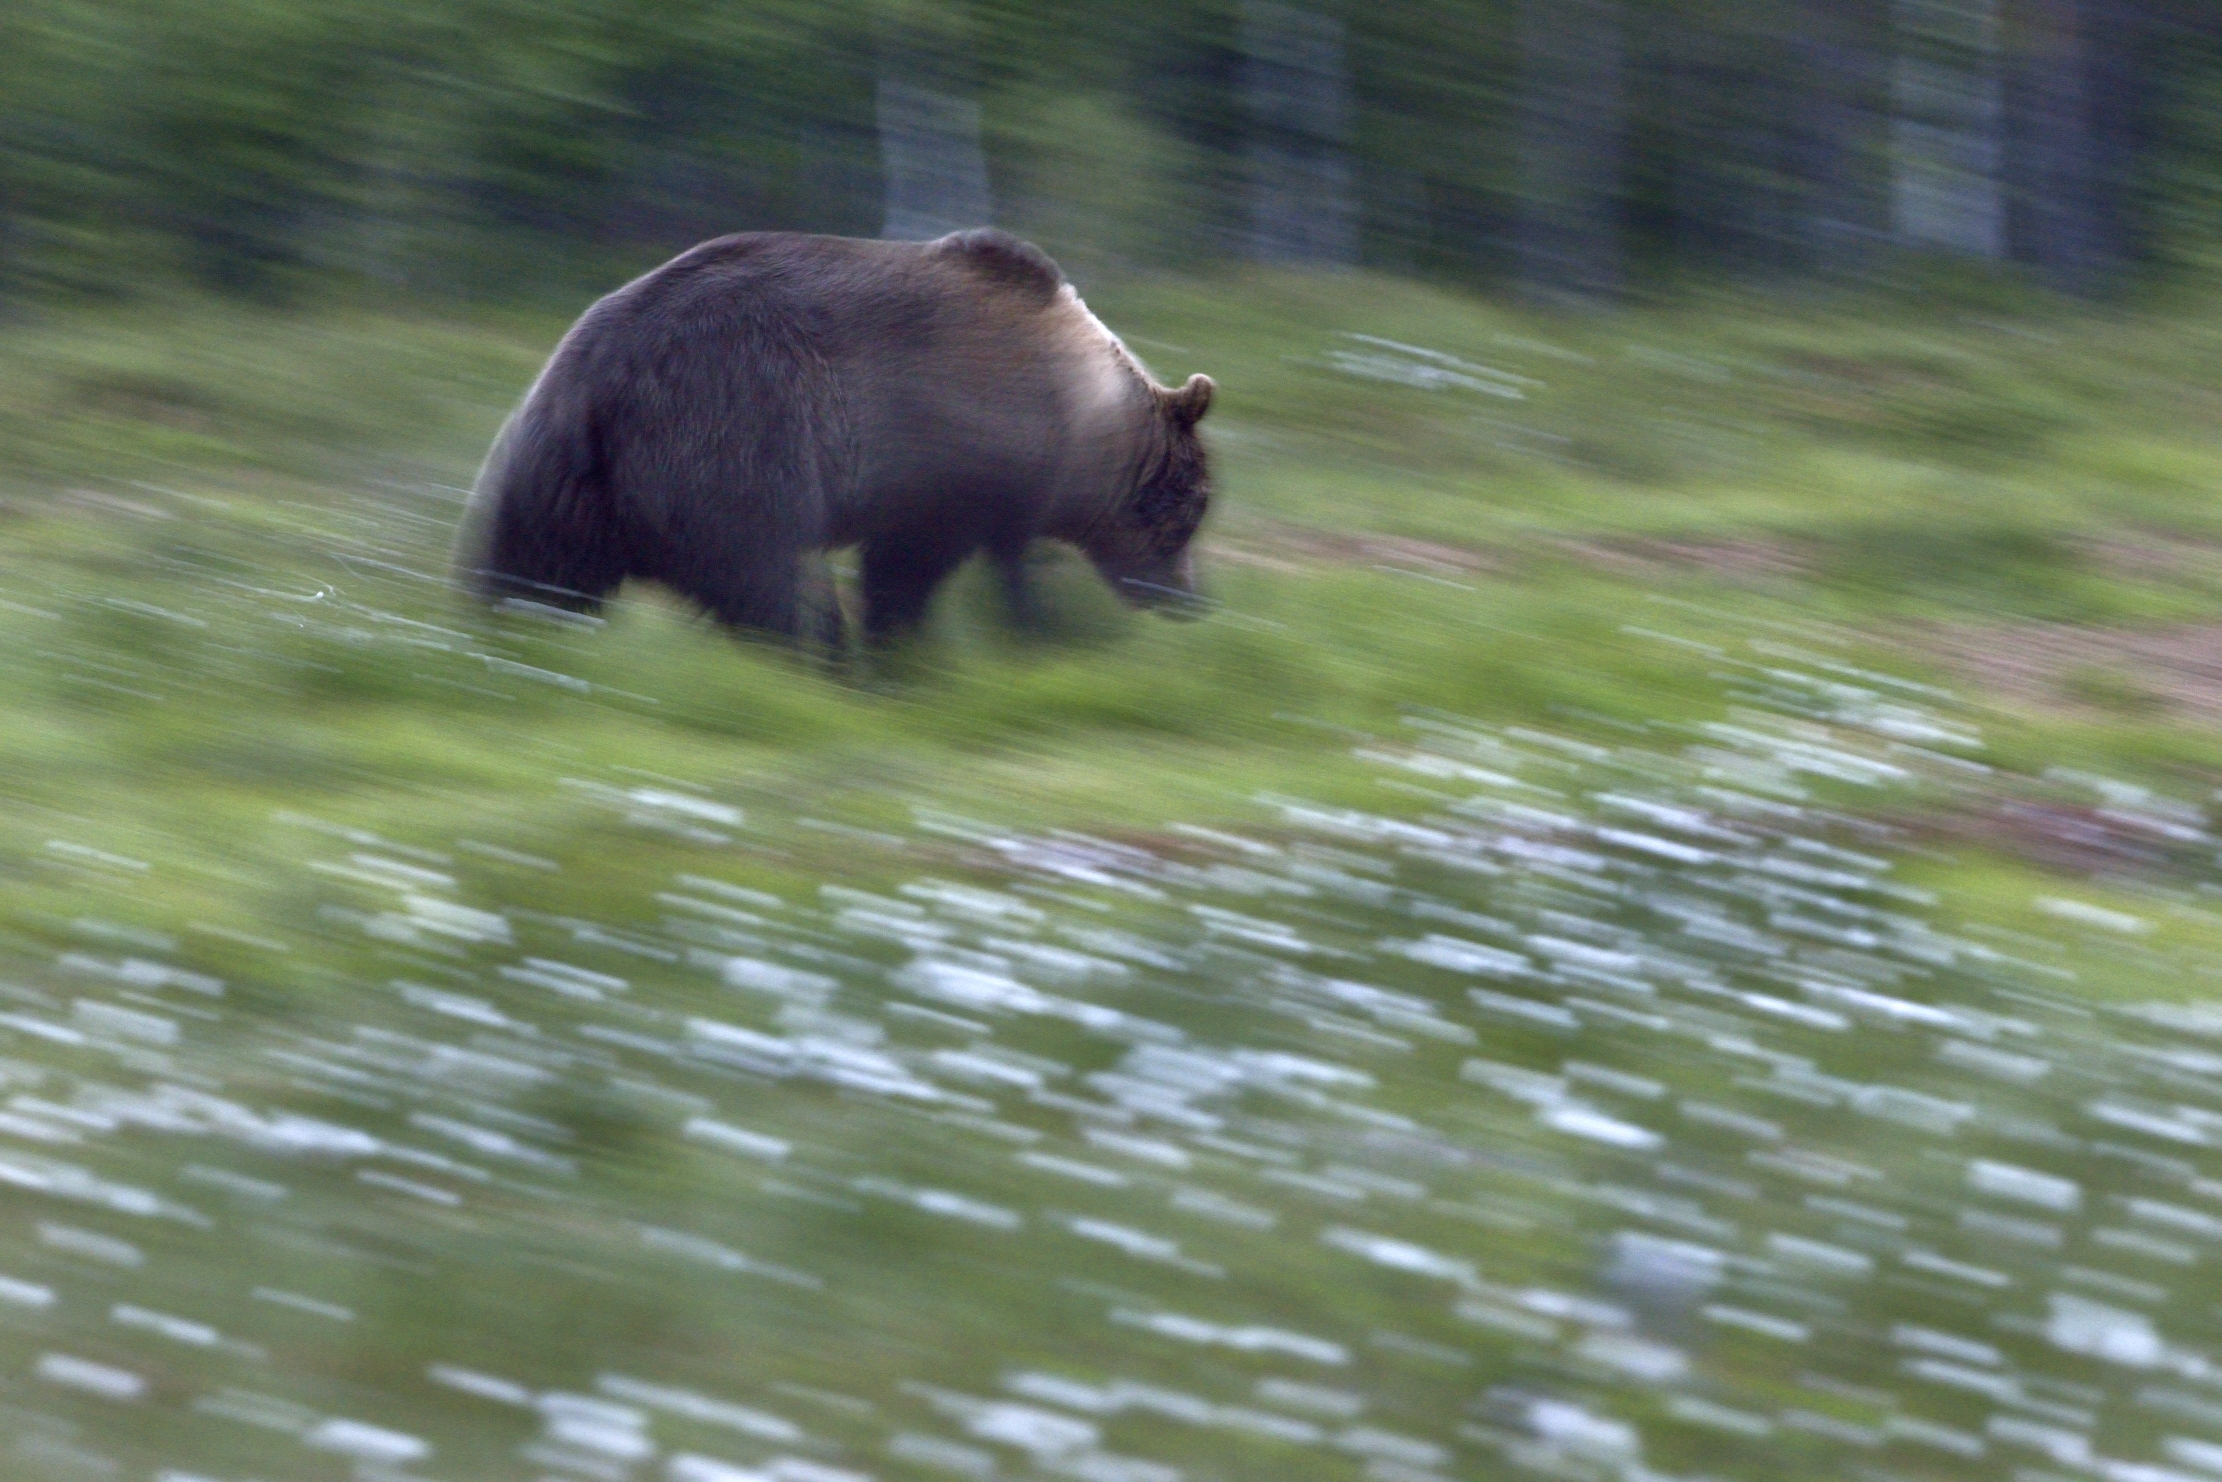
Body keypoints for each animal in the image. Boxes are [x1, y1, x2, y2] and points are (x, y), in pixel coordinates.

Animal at [453, 228, 1215, 647]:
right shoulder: (953, 452)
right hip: (729, 434)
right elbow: (912, 566)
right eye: (1193, 504)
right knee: (773, 578)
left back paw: (504, 639)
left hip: (558, 475)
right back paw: (820, 656)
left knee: (532, 569)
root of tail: (596, 376)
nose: (1190, 601)